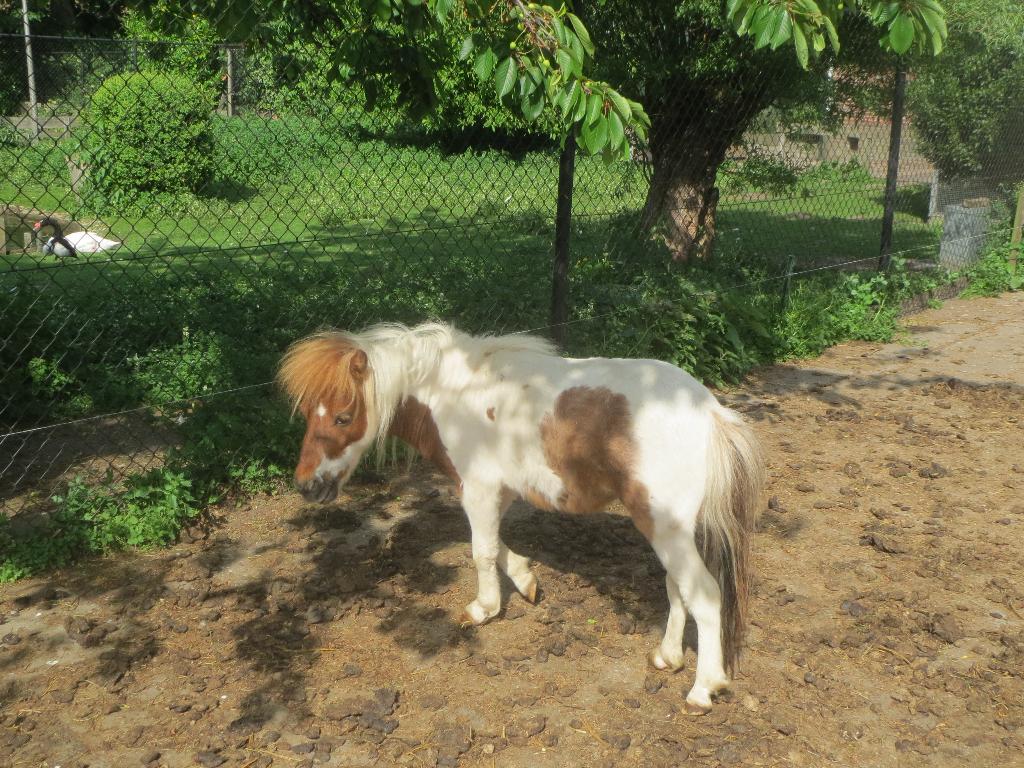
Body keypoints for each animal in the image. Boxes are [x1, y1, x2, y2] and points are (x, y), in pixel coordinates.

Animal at [278, 322, 764, 713]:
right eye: (307, 413)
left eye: (344, 417)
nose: (308, 486)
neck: (454, 393)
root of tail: (711, 412)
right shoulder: (499, 490)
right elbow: (496, 547)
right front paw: (526, 582)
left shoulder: (478, 488)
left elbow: (481, 550)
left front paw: (483, 609)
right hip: (669, 529)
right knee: (677, 587)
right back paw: (667, 657)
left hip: (666, 528)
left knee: (704, 594)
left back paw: (703, 689)